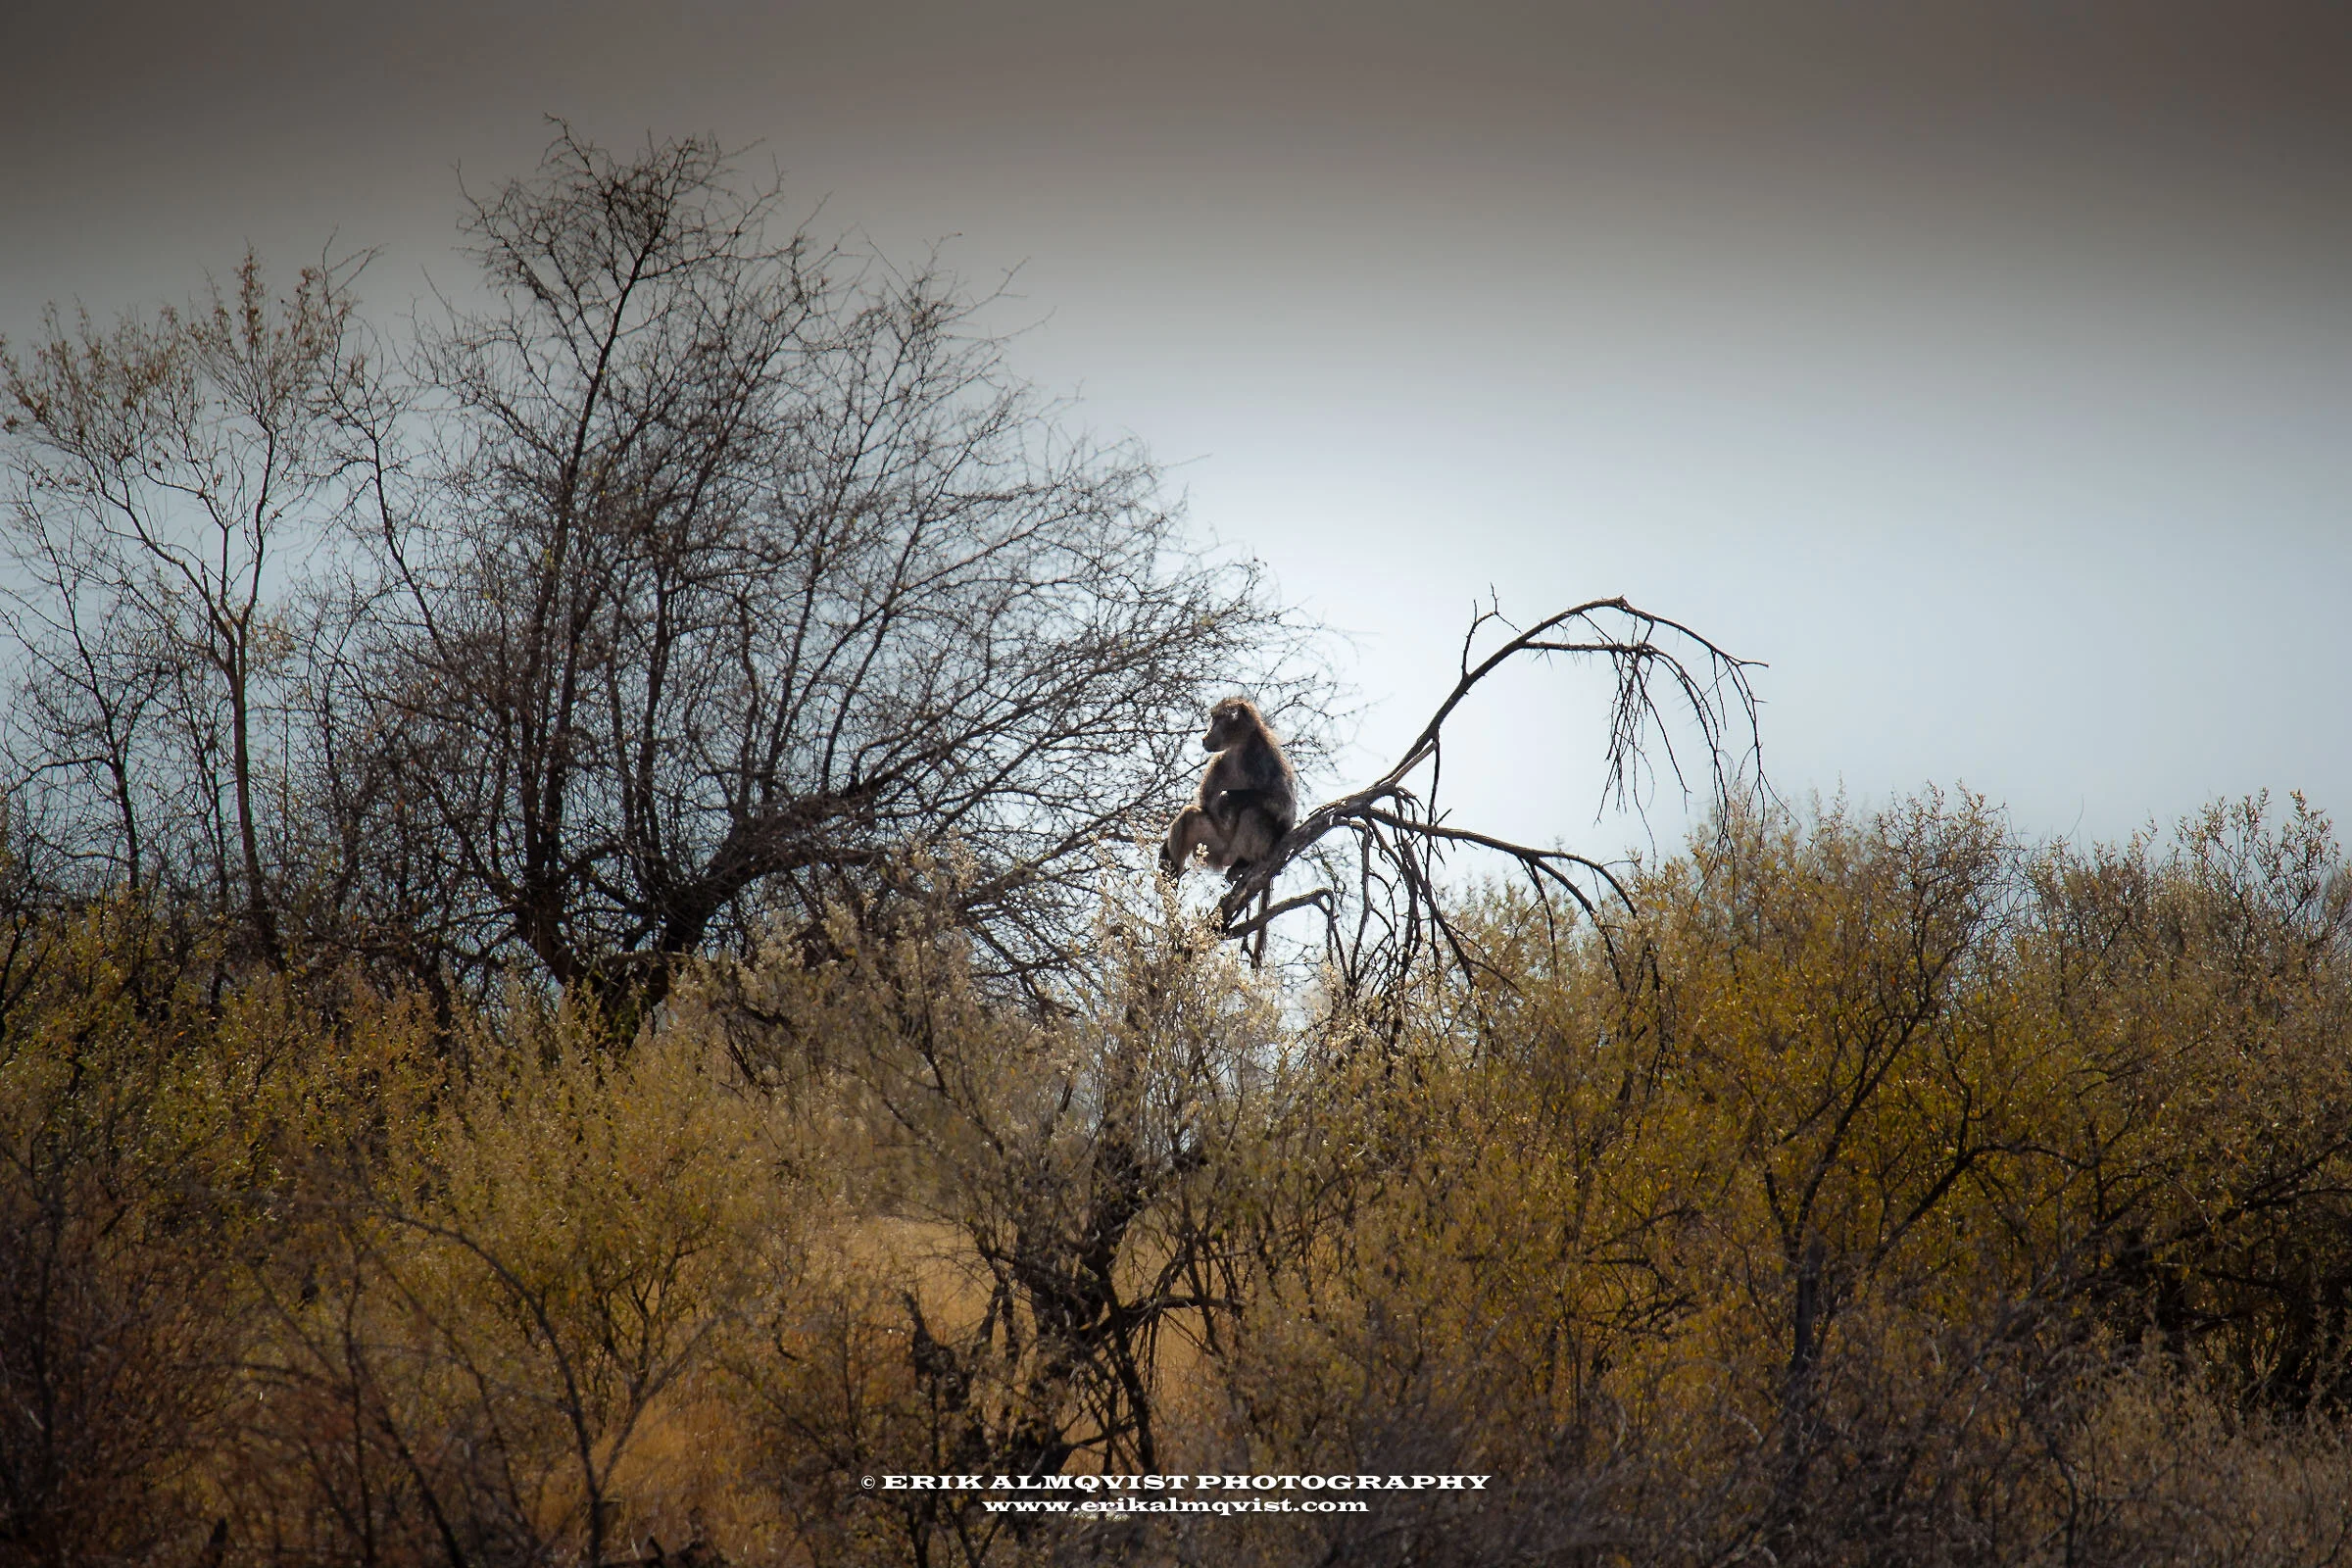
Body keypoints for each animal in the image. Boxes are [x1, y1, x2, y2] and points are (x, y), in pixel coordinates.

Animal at [1160, 696, 1297, 882]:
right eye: (1213, 718)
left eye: (1218, 719)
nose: (1204, 738)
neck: (1239, 749)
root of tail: (1228, 856)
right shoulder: (1218, 761)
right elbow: (1203, 806)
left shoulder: (1265, 759)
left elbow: (1286, 809)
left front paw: (1228, 798)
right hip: (1213, 849)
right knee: (1190, 815)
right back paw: (1171, 874)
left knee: (1253, 813)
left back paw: (1243, 863)